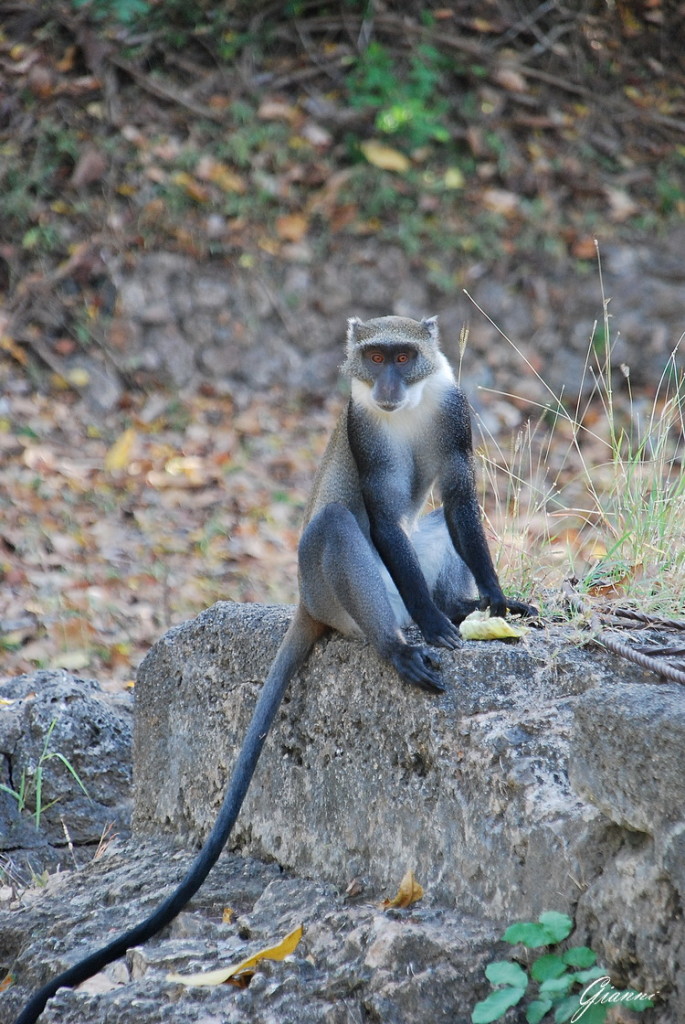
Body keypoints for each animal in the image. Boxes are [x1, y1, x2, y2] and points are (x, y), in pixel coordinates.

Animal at [13, 313, 532, 1024]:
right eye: (375, 358)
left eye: (404, 355)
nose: (389, 384)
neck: (407, 411)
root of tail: (305, 603)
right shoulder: (362, 430)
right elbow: (379, 517)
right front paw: (432, 628)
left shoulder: (451, 414)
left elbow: (457, 501)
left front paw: (496, 602)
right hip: (333, 590)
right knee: (337, 525)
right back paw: (397, 643)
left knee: (426, 525)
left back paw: (458, 607)